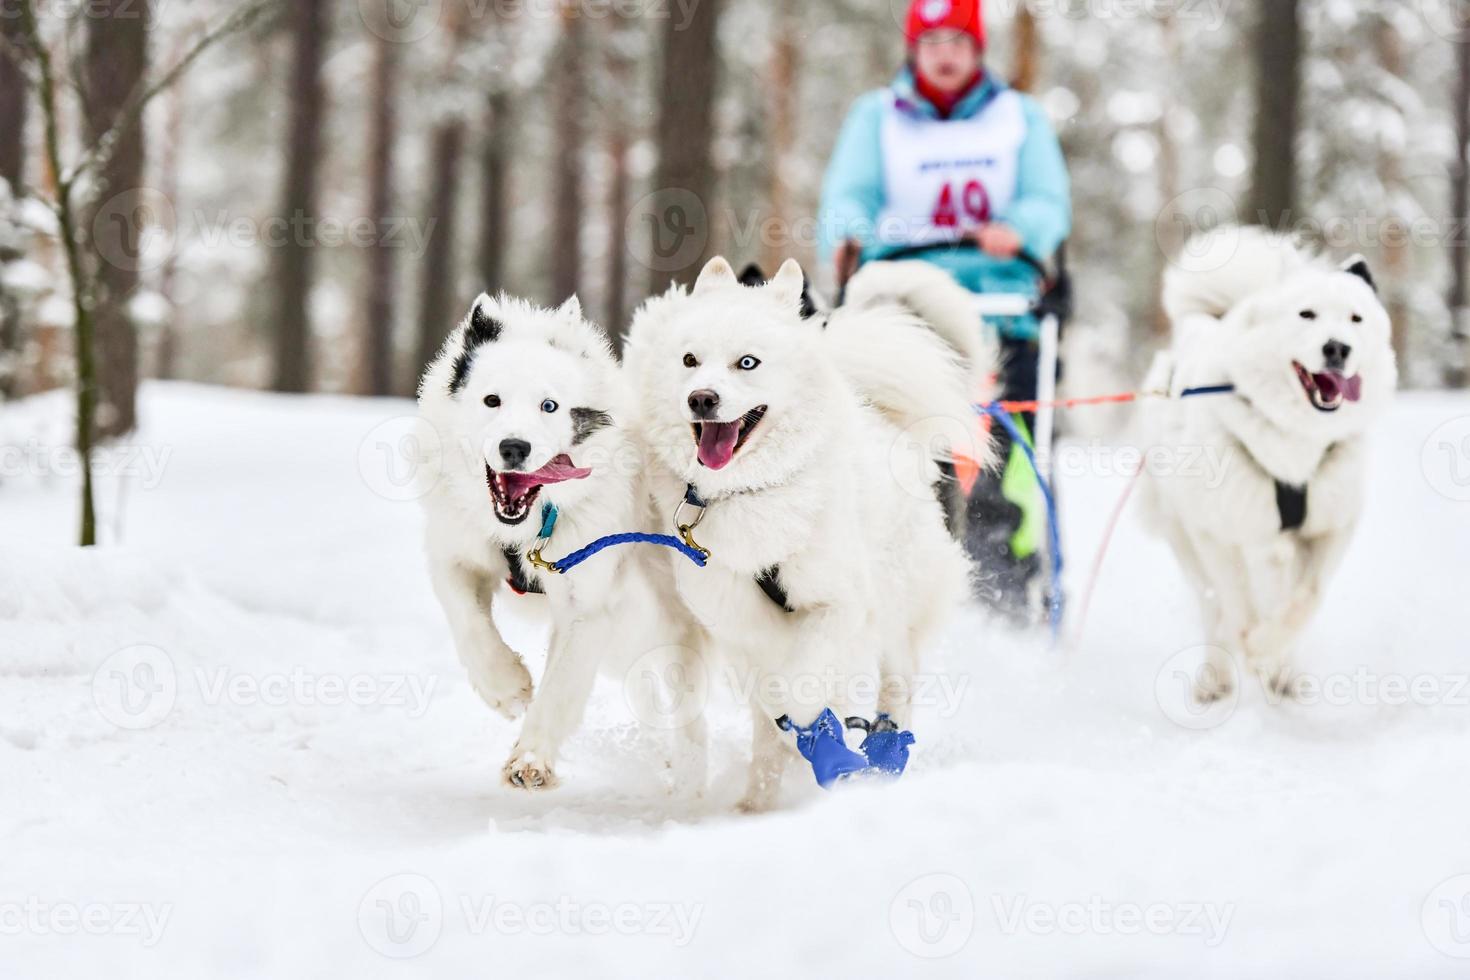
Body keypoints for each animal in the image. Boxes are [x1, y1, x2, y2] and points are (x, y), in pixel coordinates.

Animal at [626, 255, 993, 811]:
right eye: (690, 359)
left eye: (747, 363)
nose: (701, 398)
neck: (752, 493)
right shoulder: (737, 619)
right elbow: (773, 693)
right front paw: (792, 753)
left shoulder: (841, 605)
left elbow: (799, 689)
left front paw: (818, 738)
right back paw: (759, 798)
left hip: (895, 599)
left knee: (898, 678)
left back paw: (885, 751)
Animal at [1140, 227, 1393, 705]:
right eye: (1307, 314)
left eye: (1356, 319)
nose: (1337, 348)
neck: (1295, 442)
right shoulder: (1216, 533)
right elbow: (1234, 600)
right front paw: (1252, 647)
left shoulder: (1331, 527)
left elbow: (1307, 597)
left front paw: (1270, 653)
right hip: (1188, 535)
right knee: (1214, 606)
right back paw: (1219, 676)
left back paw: (1281, 672)